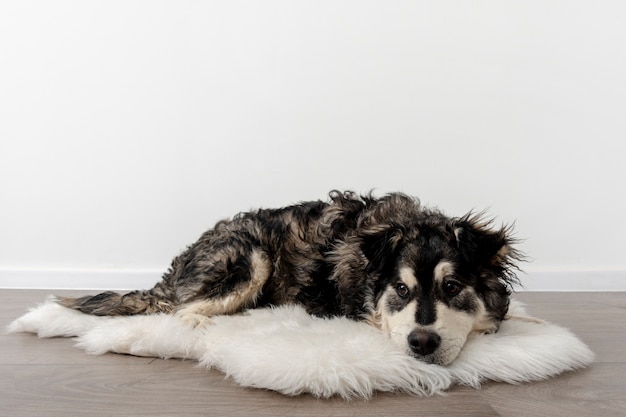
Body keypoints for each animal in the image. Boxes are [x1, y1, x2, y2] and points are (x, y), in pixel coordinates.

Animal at [58, 191, 520, 364]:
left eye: (452, 287)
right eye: (401, 289)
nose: (421, 343)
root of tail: (178, 265)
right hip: (251, 257)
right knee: (184, 311)